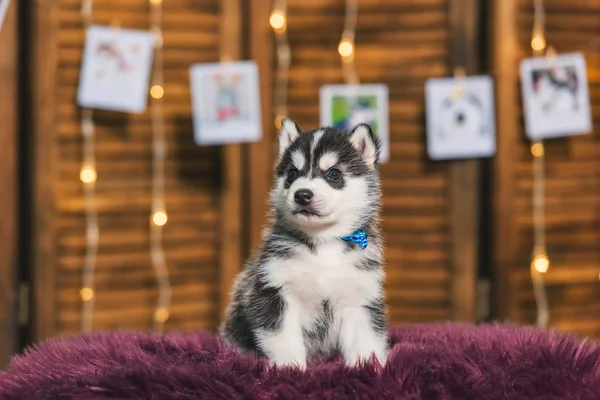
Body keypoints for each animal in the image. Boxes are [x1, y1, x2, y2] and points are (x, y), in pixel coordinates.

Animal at [221, 119, 390, 368]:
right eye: (292, 173)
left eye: (334, 174)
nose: (302, 194)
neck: (324, 244)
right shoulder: (275, 291)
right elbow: (284, 338)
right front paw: (289, 367)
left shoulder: (359, 297)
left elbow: (365, 339)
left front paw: (368, 366)